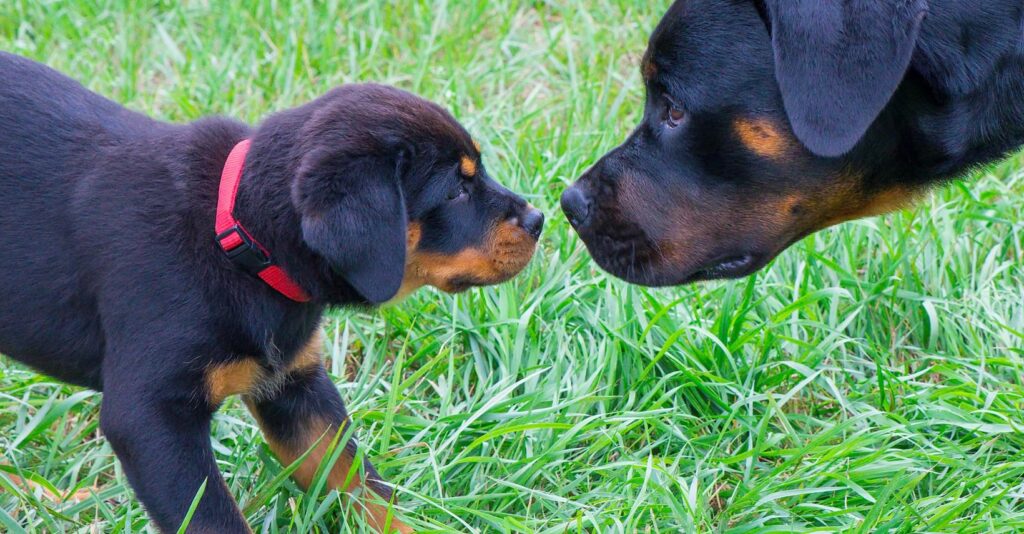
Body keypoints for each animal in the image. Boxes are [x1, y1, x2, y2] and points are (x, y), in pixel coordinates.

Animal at [0, 50, 544, 532]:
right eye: (456, 191)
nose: (539, 218)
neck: (236, 236)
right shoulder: (151, 414)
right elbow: (213, 520)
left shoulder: (295, 386)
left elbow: (363, 485)